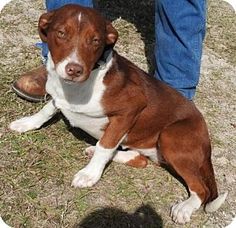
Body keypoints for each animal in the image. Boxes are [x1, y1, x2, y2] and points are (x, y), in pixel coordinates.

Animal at [9, 4, 227, 224]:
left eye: (95, 40)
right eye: (61, 33)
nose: (74, 70)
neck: (80, 86)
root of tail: (207, 140)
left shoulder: (132, 108)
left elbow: (105, 145)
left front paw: (89, 174)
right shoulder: (57, 95)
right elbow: (47, 109)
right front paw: (26, 123)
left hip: (170, 136)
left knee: (201, 189)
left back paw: (185, 207)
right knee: (140, 160)